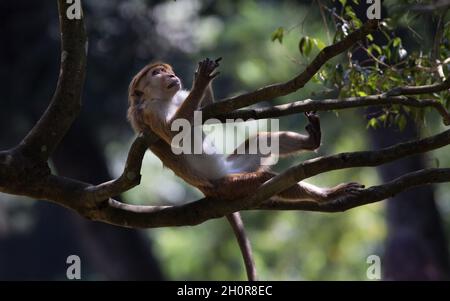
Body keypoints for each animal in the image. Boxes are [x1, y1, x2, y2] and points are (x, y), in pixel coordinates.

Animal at [125, 58, 362, 278]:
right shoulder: (150, 112)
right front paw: (201, 80)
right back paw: (326, 195)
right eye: (157, 73)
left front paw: (202, 81)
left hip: (240, 164)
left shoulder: (180, 98)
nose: (172, 76)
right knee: (264, 179)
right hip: (228, 186)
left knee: (262, 140)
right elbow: (173, 132)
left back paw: (312, 141)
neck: (165, 99)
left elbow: (209, 115)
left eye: (167, 71)